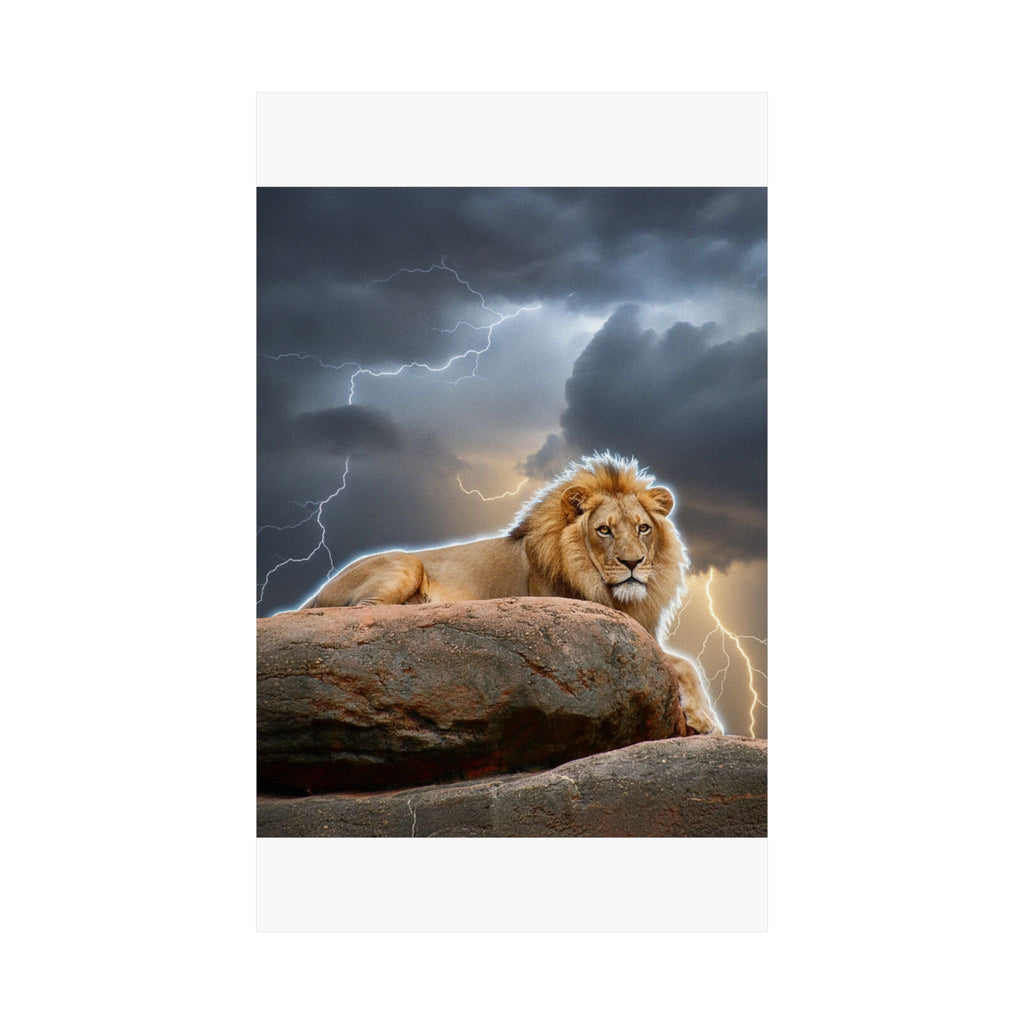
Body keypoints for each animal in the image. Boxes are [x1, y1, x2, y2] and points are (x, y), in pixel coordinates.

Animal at [301, 452, 722, 735]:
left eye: (643, 528)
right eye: (604, 530)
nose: (633, 563)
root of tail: (317, 591)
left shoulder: (641, 630)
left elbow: (687, 664)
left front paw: (704, 718)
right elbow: (680, 663)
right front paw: (707, 721)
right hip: (405, 565)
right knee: (366, 612)